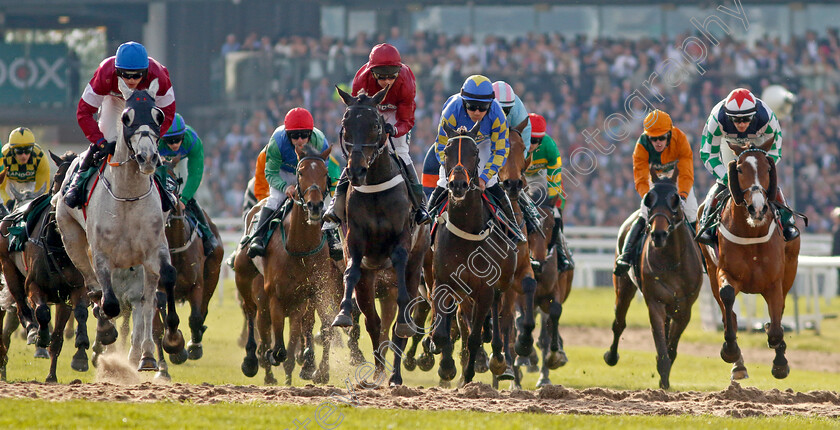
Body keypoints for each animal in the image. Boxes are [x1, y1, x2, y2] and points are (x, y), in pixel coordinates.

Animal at [0, 149, 91, 382]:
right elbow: (41, 311)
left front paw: (79, 356)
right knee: (21, 307)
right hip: (9, 270)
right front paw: (39, 336)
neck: (59, 245)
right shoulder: (33, 285)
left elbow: (79, 314)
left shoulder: (74, 290)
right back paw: (32, 330)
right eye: (58, 177)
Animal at [332, 85, 430, 386]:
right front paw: (343, 312)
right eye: (345, 125)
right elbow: (351, 271)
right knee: (374, 323)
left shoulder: (402, 238)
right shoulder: (355, 241)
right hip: (371, 281)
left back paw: (395, 374)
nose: (356, 170)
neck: (375, 184)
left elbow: (399, 260)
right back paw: (377, 374)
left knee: (399, 321)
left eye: (376, 125)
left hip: (415, 265)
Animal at [430, 122, 516, 384]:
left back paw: (496, 354)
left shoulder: (485, 288)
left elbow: (475, 336)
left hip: (502, 281)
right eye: (447, 151)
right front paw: (445, 362)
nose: (458, 185)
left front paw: (468, 376)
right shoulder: (442, 282)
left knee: (497, 310)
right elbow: (442, 333)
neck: (467, 231)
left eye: (476, 152)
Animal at [604, 165, 704, 390]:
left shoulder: (685, 309)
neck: (672, 260)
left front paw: (664, 382)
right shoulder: (655, 302)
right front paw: (663, 383)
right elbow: (663, 351)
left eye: (675, 200)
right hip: (623, 286)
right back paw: (611, 356)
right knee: (618, 323)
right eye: (649, 199)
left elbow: (671, 349)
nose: (658, 234)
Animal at [696, 138, 800, 380]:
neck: (752, 233)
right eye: (740, 169)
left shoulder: (774, 281)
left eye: (768, 169)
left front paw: (780, 362)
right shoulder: (724, 272)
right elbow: (727, 301)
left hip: (790, 269)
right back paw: (738, 365)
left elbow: (776, 327)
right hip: (711, 271)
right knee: (728, 313)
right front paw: (730, 351)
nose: (758, 207)